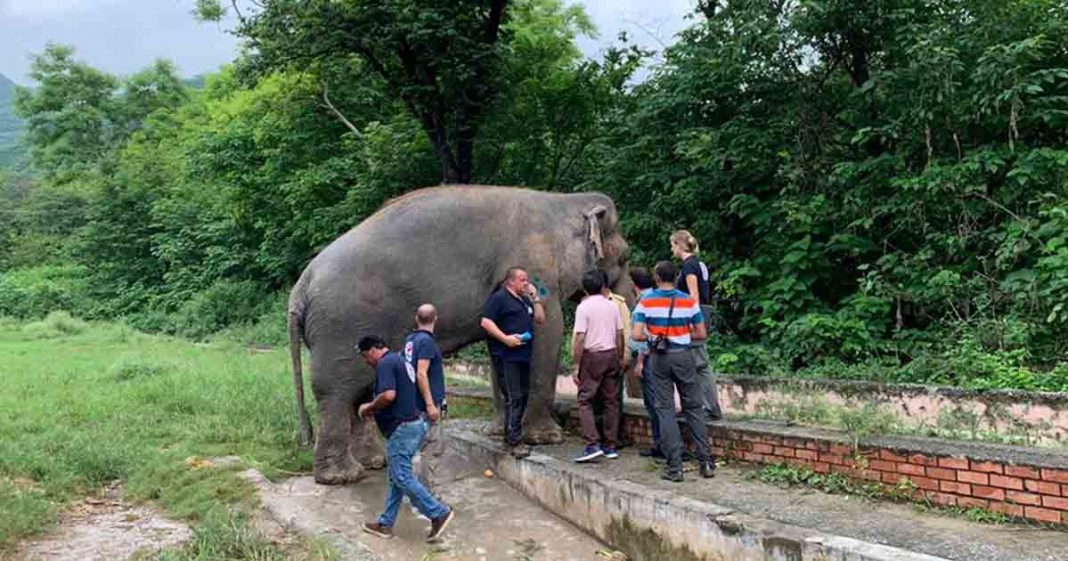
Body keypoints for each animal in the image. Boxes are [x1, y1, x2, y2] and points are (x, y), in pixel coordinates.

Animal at [288, 185, 632, 484]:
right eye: (625, 257)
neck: (562, 202)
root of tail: (300, 288)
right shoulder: (534, 267)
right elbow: (546, 331)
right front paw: (546, 439)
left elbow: (498, 345)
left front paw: (498, 433)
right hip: (341, 328)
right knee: (336, 393)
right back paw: (342, 477)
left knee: (361, 392)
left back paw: (373, 464)